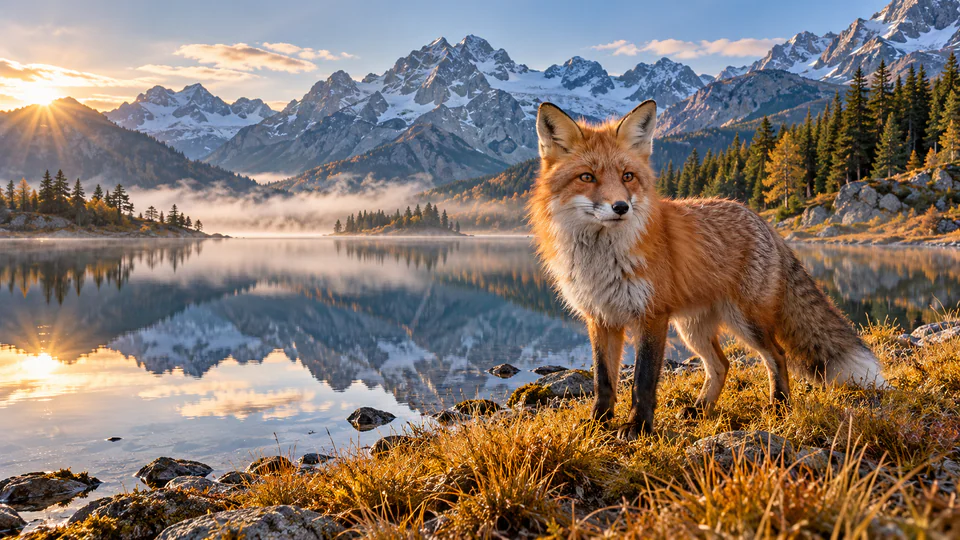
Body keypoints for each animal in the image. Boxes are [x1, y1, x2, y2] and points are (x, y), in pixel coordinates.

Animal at [529, 100, 885, 440]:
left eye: (627, 176)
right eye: (587, 177)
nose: (621, 207)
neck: (602, 261)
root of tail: (763, 221)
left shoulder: (652, 316)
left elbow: (642, 381)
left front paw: (638, 426)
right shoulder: (601, 319)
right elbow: (603, 382)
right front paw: (598, 424)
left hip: (746, 322)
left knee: (778, 355)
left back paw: (780, 406)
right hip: (693, 329)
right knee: (722, 365)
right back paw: (701, 409)